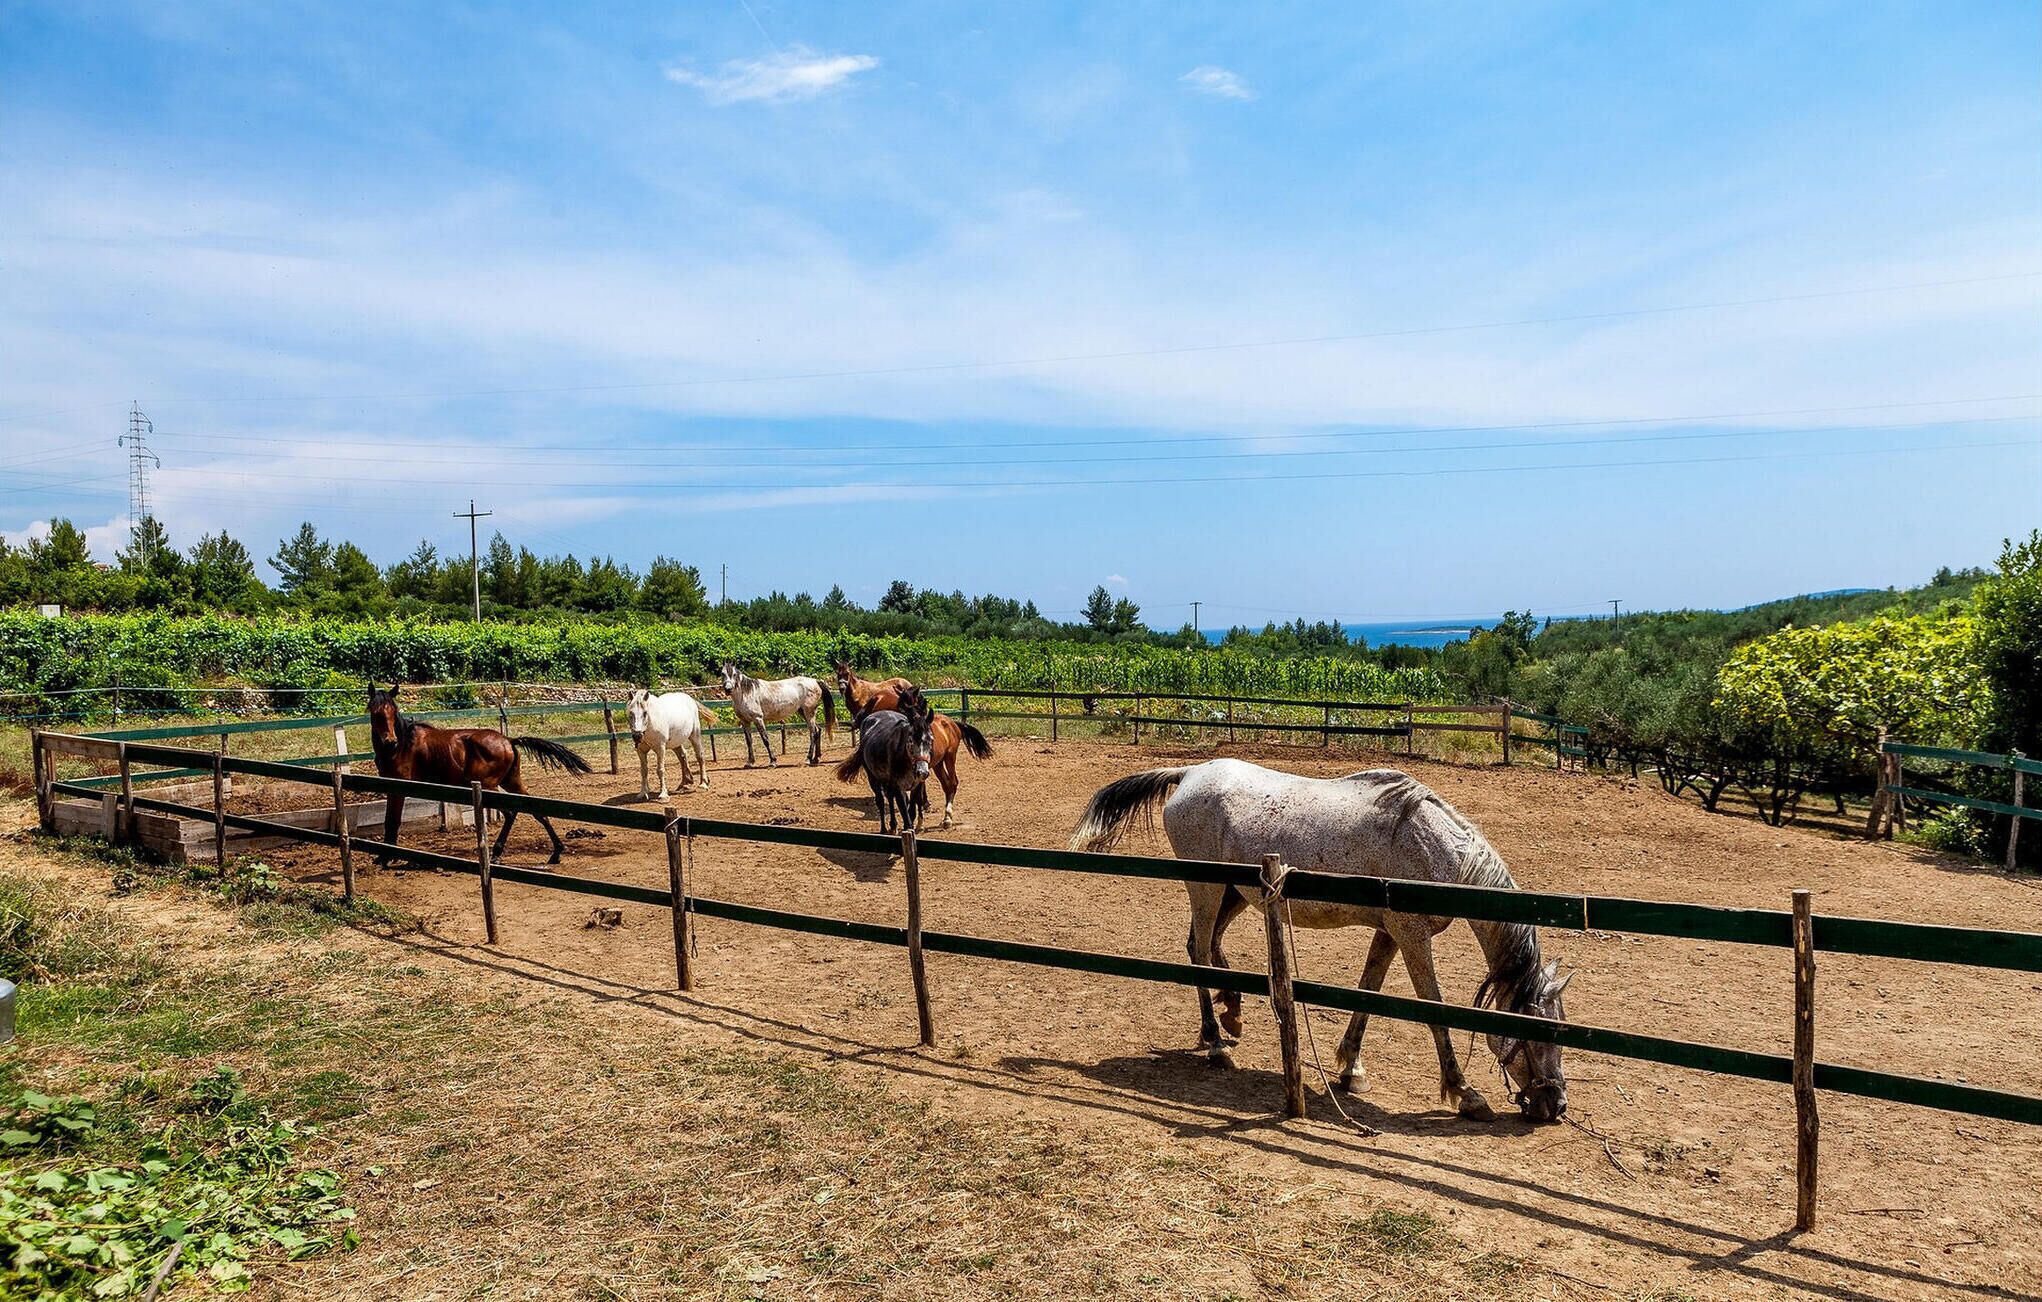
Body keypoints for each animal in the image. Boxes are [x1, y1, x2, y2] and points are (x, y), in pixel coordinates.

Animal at [367, 685, 594, 865]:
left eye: (393, 710)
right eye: (375, 712)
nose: (390, 741)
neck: (403, 745)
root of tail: (508, 740)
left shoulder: (398, 787)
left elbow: (392, 821)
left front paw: (386, 857)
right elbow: (390, 820)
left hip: (489, 785)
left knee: (510, 813)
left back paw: (497, 853)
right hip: (512, 783)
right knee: (537, 811)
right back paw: (555, 852)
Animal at [833, 691, 935, 832]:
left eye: (931, 740)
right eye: (910, 740)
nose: (922, 771)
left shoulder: (916, 786)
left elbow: (911, 811)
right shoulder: (899, 788)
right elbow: (906, 818)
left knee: (889, 797)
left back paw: (893, 825)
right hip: (873, 778)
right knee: (880, 800)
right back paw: (884, 829)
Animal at [1070, 758, 1570, 1123]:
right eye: (1541, 1030)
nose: (1556, 1105)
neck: (1435, 848)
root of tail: (1190, 773)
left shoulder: (1389, 933)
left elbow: (1369, 993)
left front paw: (1351, 1067)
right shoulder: (1412, 936)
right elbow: (1433, 1010)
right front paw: (1464, 1092)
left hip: (1234, 892)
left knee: (1204, 945)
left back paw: (1232, 1013)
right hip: (1206, 889)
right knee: (1199, 955)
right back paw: (1215, 1043)